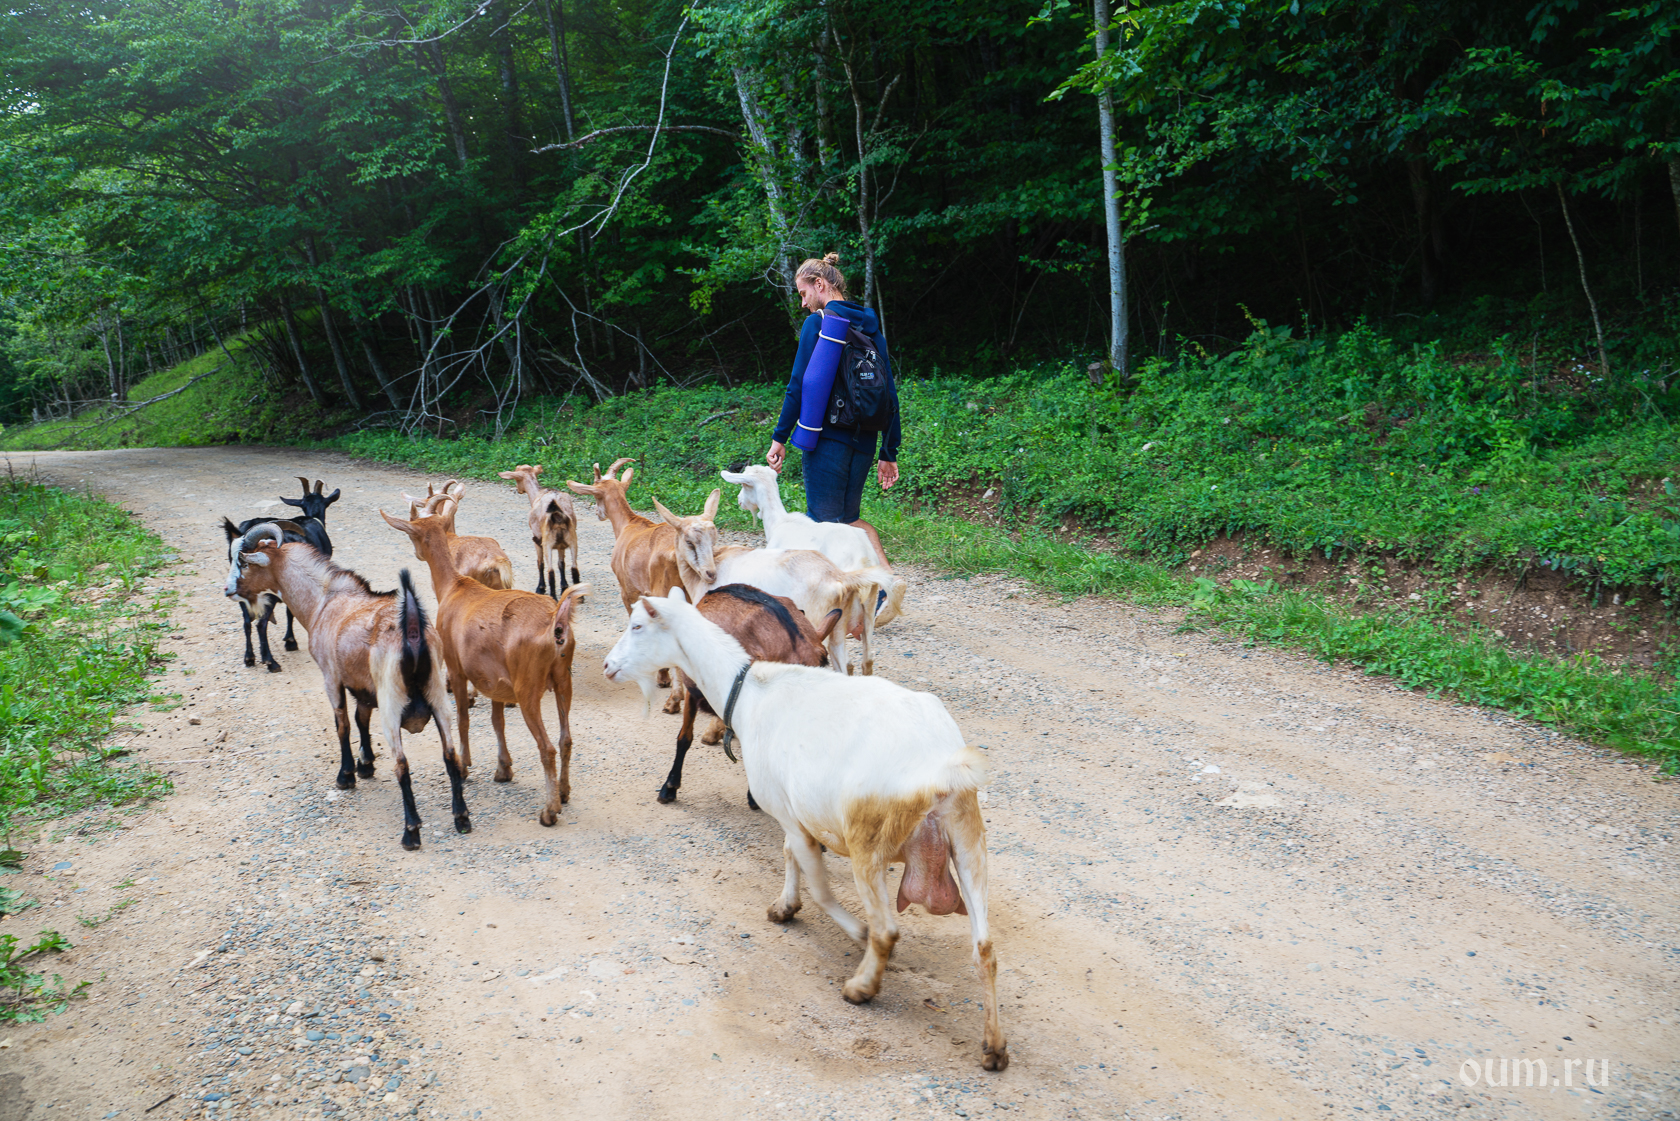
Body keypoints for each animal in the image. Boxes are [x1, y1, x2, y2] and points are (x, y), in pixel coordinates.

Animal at [219, 478, 337, 672]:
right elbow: (290, 611)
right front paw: (290, 641)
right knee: (261, 623)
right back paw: (270, 661)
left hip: (242, 588)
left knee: (246, 621)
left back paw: (249, 658)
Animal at [223, 523, 470, 850]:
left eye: (244, 563)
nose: (227, 590)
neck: (323, 602)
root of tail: (412, 632)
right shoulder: (364, 688)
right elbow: (361, 719)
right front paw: (366, 765)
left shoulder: (331, 677)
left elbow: (342, 725)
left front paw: (347, 775)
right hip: (439, 698)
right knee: (450, 755)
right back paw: (462, 818)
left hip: (392, 706)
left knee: (402, 765)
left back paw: (411, 832)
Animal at [381, 507, 589, 827]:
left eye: (412, 532)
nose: (417, 554)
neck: (454, 588)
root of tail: (556, 621)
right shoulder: (496, 682)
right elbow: (496, 721)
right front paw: (503, 769)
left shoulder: (456, 668)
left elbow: (463, 718)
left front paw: (465, 766)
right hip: (563, 679)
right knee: (566, 739)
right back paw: (564, 793)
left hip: (528, 687)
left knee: (548, 747)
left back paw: (549, 810)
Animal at [499, 464, 581, 598]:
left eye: (516, 478)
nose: (519, 490)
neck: (537, 494)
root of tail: (557, 514)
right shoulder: (561, 545)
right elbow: (561, 564)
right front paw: (564, 587)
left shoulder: (537, 538)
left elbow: (540, 563)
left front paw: (540, 587)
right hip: (572, 538)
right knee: (574, 567)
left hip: (548, 541)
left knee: (550, 570)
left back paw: (553, 597)